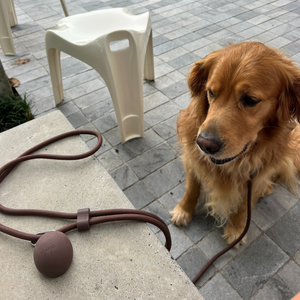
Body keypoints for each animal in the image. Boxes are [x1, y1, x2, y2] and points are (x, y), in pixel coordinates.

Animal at [171, 41, 300, 245]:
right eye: (211, 92)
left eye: (251, 100)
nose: (204, 144)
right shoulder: (193, 159)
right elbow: (192, 188)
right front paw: (183, 211)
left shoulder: (256, 175)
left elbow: (244, 206)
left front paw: (237, 229)